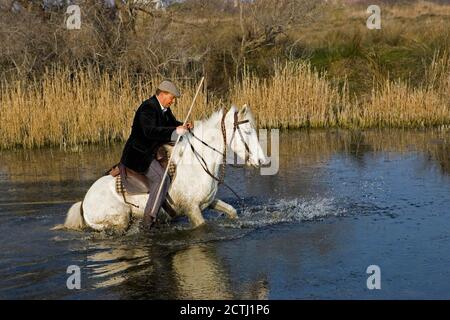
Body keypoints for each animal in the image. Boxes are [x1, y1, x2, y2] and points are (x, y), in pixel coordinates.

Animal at [59, 105, 268, 232]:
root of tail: (84, 202)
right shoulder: (192, 209)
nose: (262, 160)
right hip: (120, 219)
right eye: (247, 131)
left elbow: (231, 211)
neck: (198, 163)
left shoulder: (208, 202)